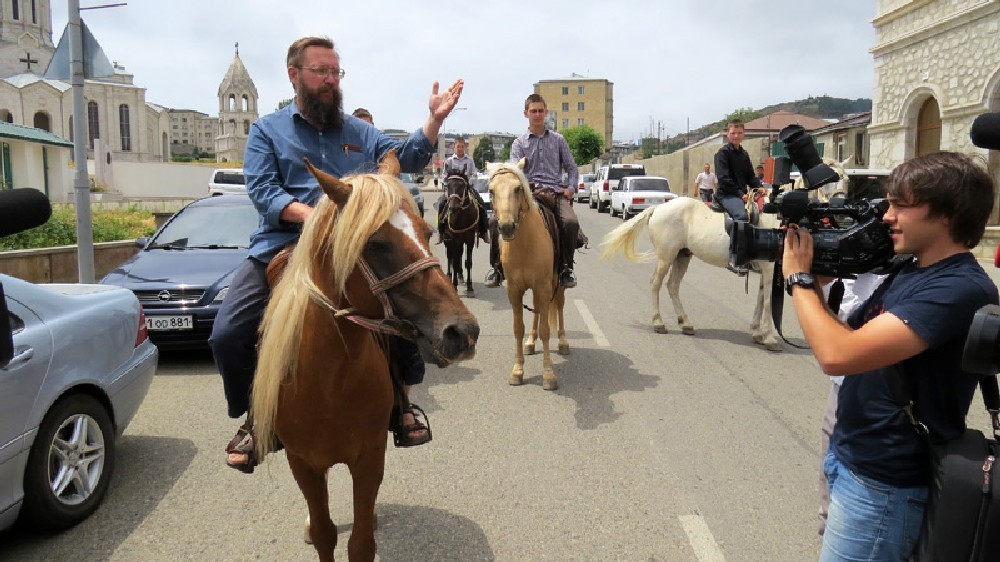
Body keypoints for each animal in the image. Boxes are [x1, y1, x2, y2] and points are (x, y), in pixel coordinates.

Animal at [442, 167, 480, 296]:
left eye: (462, 186)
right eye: (448, 185)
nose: (453, 208)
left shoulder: (470, 239)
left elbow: (468, 262)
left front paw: (470, 287)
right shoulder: (454, 239)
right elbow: (454, 260)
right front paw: (454, 285)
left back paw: (460, 275)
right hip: (448, 240)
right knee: (450, 256)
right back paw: (450, 276)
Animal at [486, 159, 568, 390]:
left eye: (517, 188)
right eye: (491, 190)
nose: (506, 227)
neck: (524, 244)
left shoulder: (544, 286)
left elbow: (546, 329)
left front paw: (548, 375)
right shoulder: (515, 290)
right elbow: (518, 328)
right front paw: (517, 370)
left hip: (558, 282)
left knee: (558, 306)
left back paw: (563, 341)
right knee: (538, 310)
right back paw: (531, 342)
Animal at [600, 195, 780, 348]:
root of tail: (659, 208)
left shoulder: (765, 270)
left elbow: (760, 299)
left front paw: (757, 332)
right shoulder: (769, 268)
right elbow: (768, 301)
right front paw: (769, 338)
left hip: (682, 256)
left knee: (672, 286)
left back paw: (685, 323)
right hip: (666, 256)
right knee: (656, 284)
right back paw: (658, 323)